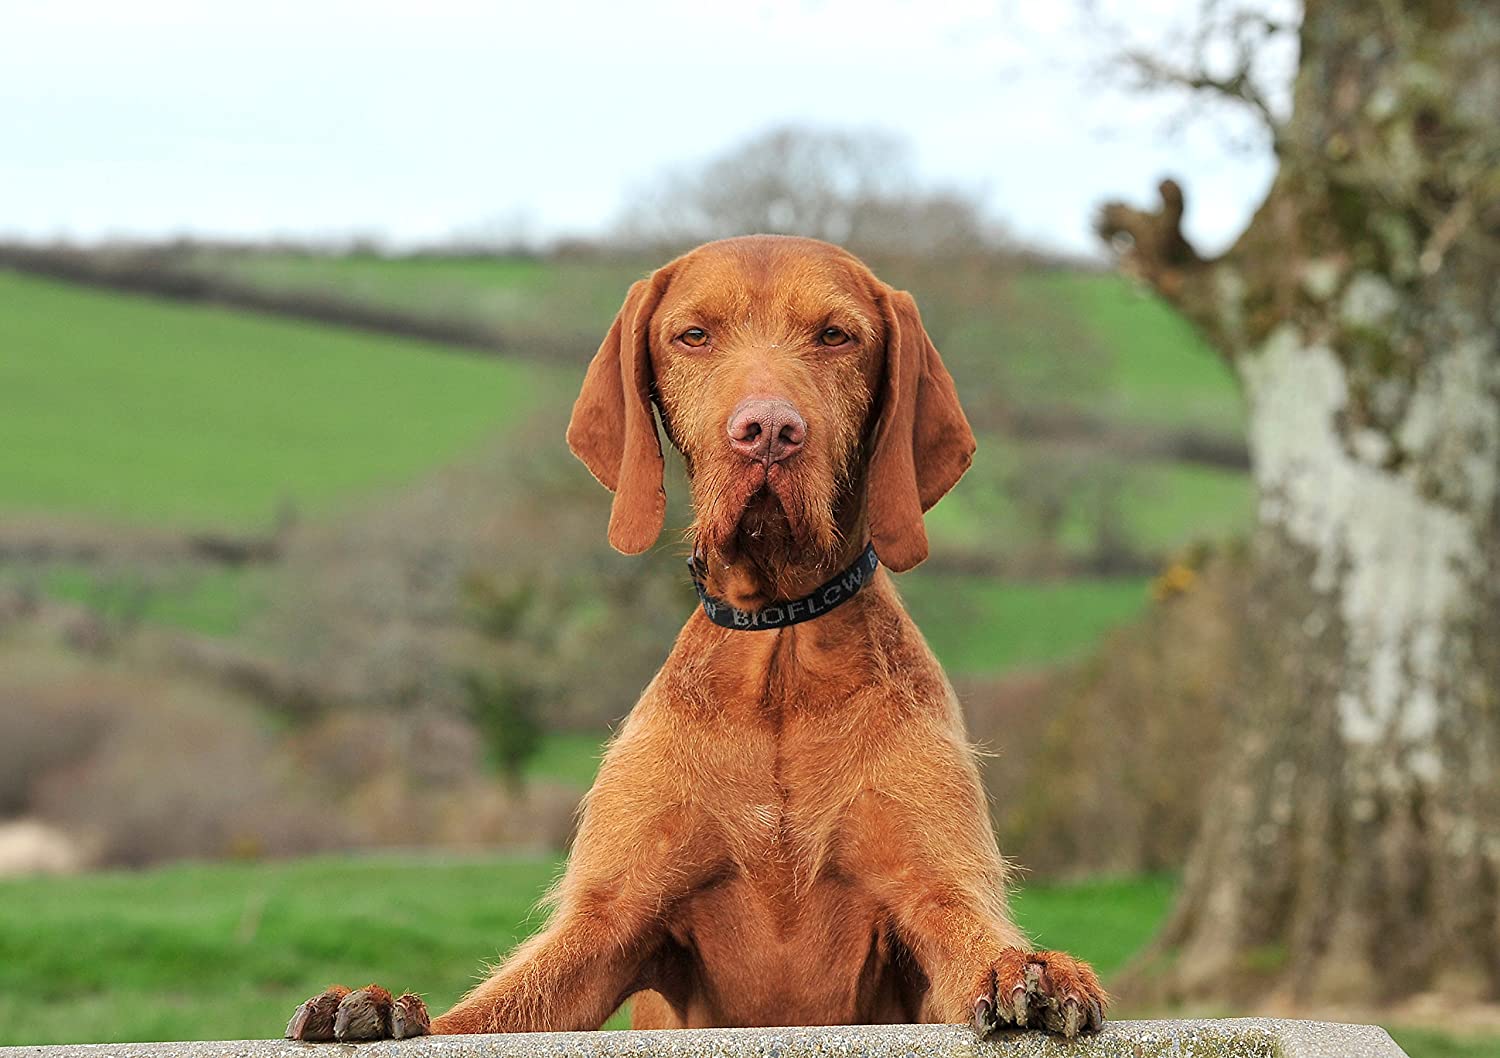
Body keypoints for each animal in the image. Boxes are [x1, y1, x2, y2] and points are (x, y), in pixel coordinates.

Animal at [286, 232, 1110, 1038]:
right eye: (694, 335)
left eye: (836, 335)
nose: (769, 432)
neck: (778, 650)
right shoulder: (612, 921)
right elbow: (485, 1014)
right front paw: (381, 1009)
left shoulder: (933, 894)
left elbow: (970, 937)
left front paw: (1032, 971)